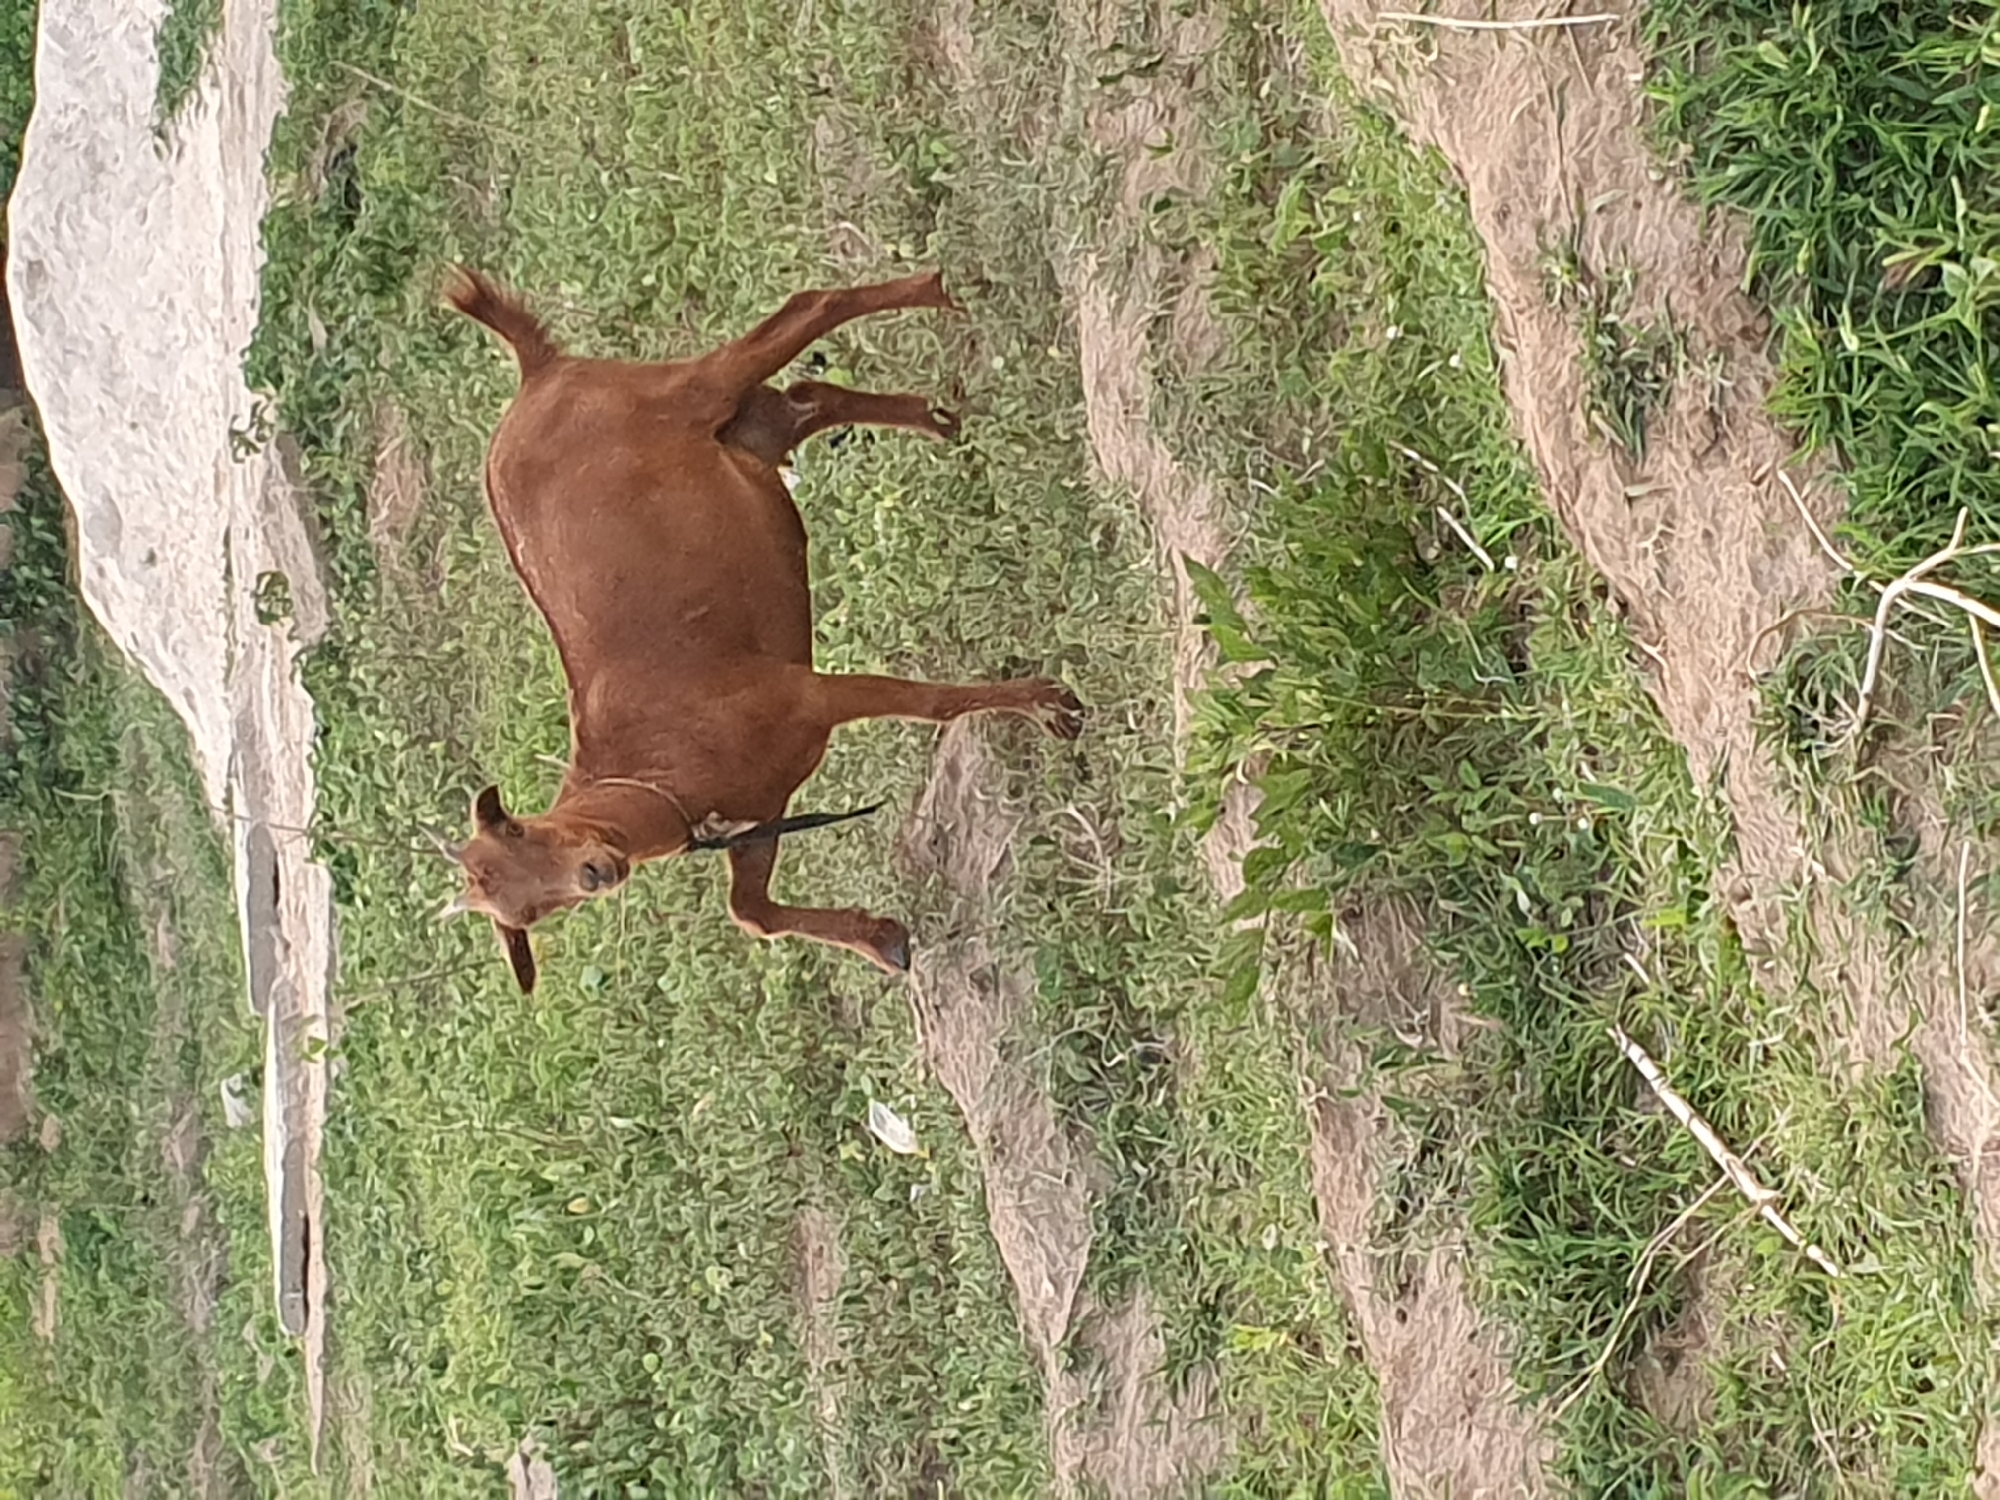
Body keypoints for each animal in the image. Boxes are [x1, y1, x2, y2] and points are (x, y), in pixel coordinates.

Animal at [433, 267, 1081, 993]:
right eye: (527, 912)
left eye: (520, 831)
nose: (597, 872)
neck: (664, 770)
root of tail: (538, 372)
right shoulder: (764, 809)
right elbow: (750, 908)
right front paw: (882, 939)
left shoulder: (806, 697)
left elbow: (932, 705)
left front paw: (1050, 705)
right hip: (740, 435)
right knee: (803, 401)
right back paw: (938, 421)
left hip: (685, 393)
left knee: (808, 310)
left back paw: (934, 293)